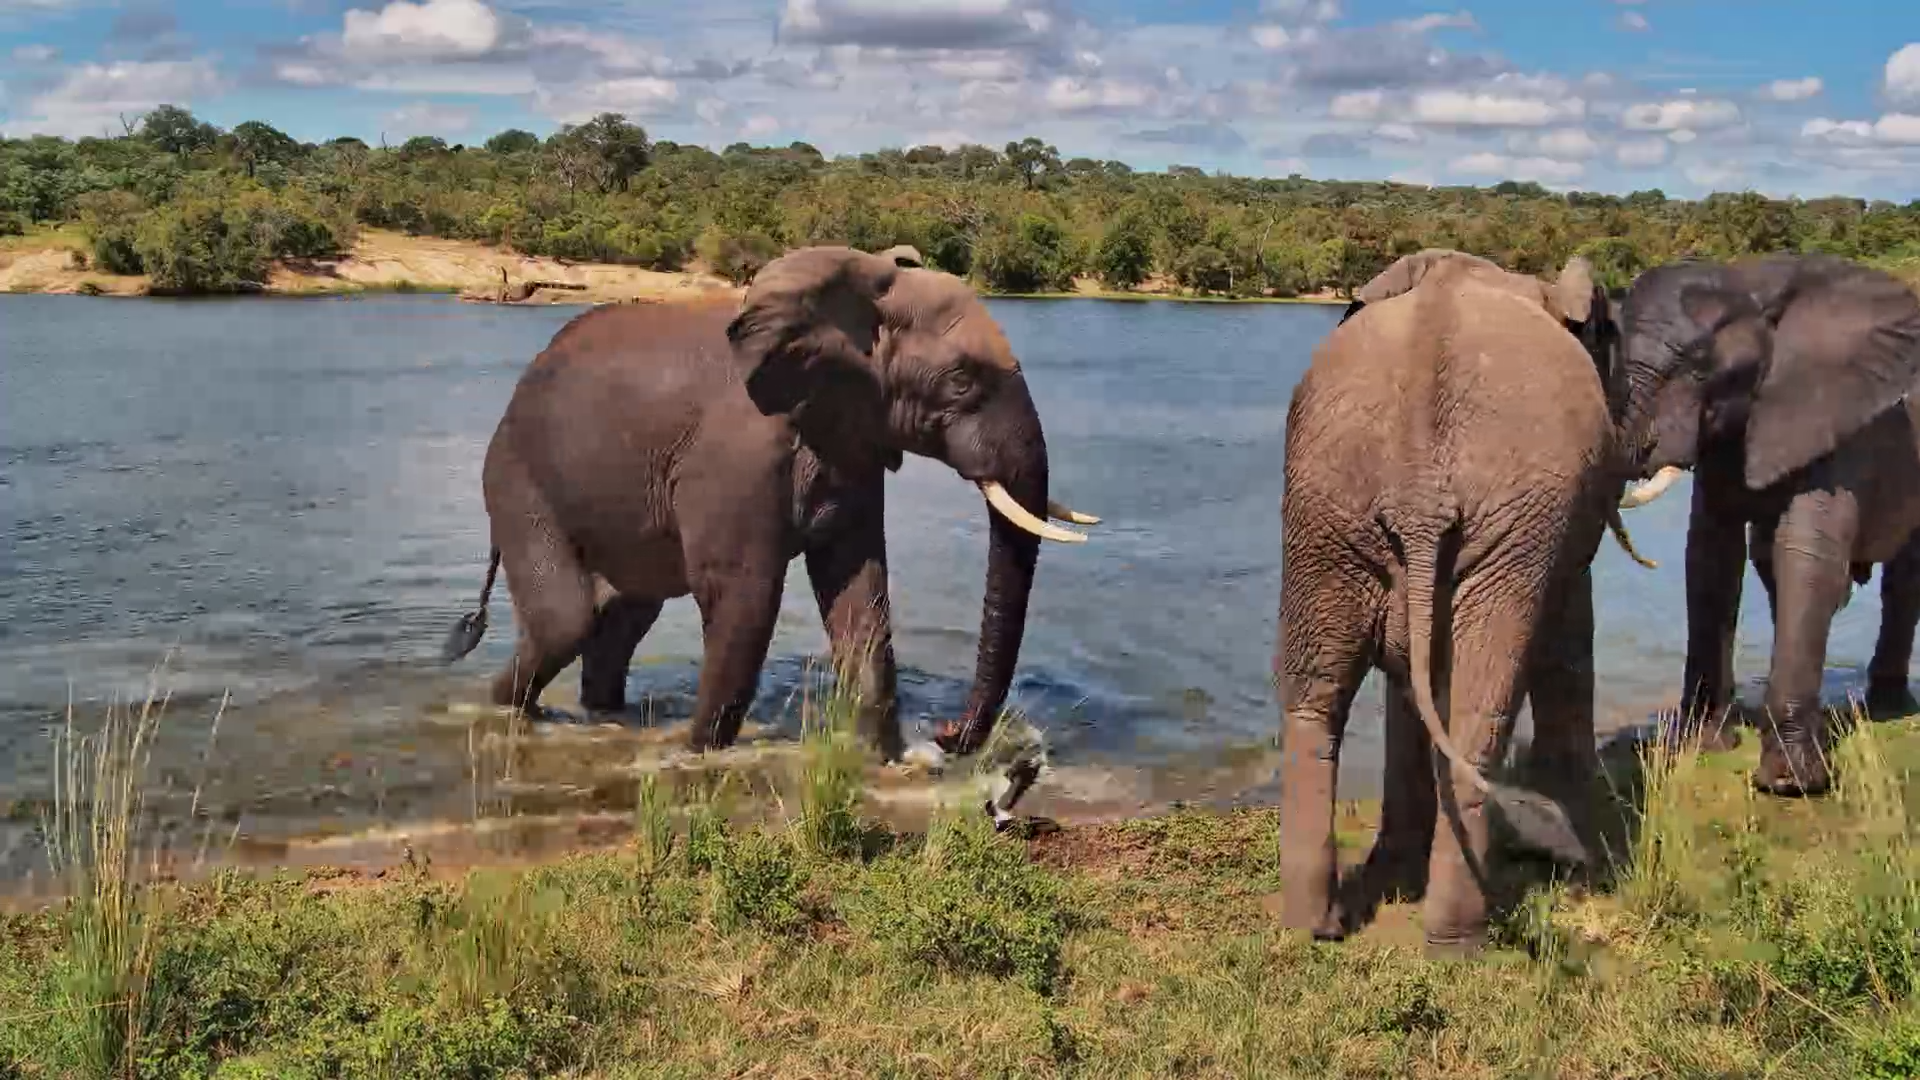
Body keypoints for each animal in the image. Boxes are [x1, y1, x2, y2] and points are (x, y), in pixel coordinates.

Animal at [443, 243, 1099, 762]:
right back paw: (505, 716)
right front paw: (694, 757)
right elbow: (745, 594)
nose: (944, 733)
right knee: (566, 619)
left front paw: (885, 766)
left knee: (619, 617)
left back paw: (604, 719)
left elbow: (859, 590)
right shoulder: (734, 457)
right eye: (962, 381)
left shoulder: (851, 434)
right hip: (515, 479)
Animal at [1276, 248, 1654, 955]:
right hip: (1498, 524)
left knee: (1316, 695)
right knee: (1479, 712)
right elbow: (1568, 641)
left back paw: (1314, 928)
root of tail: (1420, 492)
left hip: (1326, 510)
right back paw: (1460, 945)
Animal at [1610, 253, 1920, 797]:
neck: (1753, 284)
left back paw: (1887, 706)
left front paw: (1791, 784)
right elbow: (1712, 554)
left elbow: (1806, 554)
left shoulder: (1828, 413)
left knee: (1905, 578)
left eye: (1699, 366)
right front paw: (1705, 744)